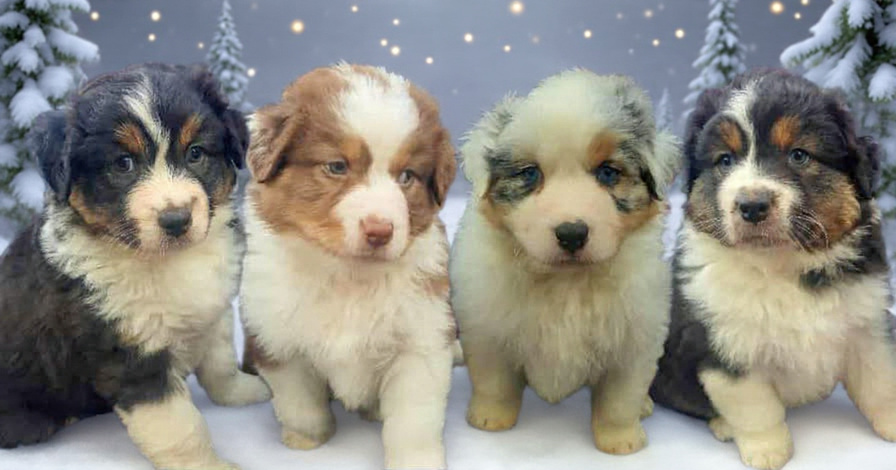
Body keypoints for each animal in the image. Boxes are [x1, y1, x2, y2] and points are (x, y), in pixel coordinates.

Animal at [0, 63, 271, 470]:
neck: (167, 261)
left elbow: (219, 364)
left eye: (195, 153)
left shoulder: (212, 309)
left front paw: (245, 390)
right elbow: (180, 427)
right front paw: (208, 465)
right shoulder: (131, 354)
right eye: (123, 164)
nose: (176, 220)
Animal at [239, 63, 457, 469]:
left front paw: (417, 461)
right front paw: (308, 440)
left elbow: (414, 421)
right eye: (337, 166)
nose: (380, 231)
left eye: (407, 176)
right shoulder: (278, 340)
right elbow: (299, 403)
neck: (349, 277)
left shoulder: (420, 343)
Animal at [451, 69, 680, 455]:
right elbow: (494, 383)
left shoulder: (634, 340)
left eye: (608, 172)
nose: (572, 234)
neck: (566, 283)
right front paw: (489, 419)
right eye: (530, 173)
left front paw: (621, 441)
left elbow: (619, 399)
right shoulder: (488, 329)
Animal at [649, 69, 896, 470]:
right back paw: (722, 425)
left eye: (799, 155)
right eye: (725, 160)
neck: (782, 264)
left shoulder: (867, 323)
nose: (752, 206)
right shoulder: (725, 344)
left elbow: (881, 383)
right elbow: (755, 406)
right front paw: (768, 452)